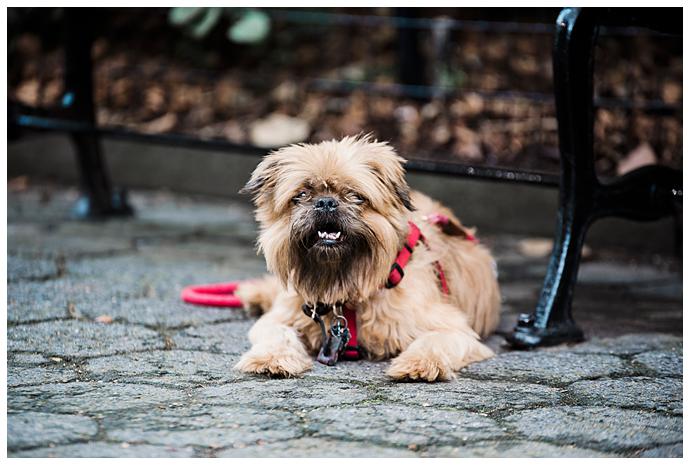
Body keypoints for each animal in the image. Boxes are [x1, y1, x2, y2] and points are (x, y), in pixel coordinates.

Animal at [234, 134, 498, 380]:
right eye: (301, 194)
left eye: (355, 195)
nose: (325, 202)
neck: (346, 290)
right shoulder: (281, 317)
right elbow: (277, 334)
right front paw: (270, 358)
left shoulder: (455, 330)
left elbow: (433, 341)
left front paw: (419, 364)